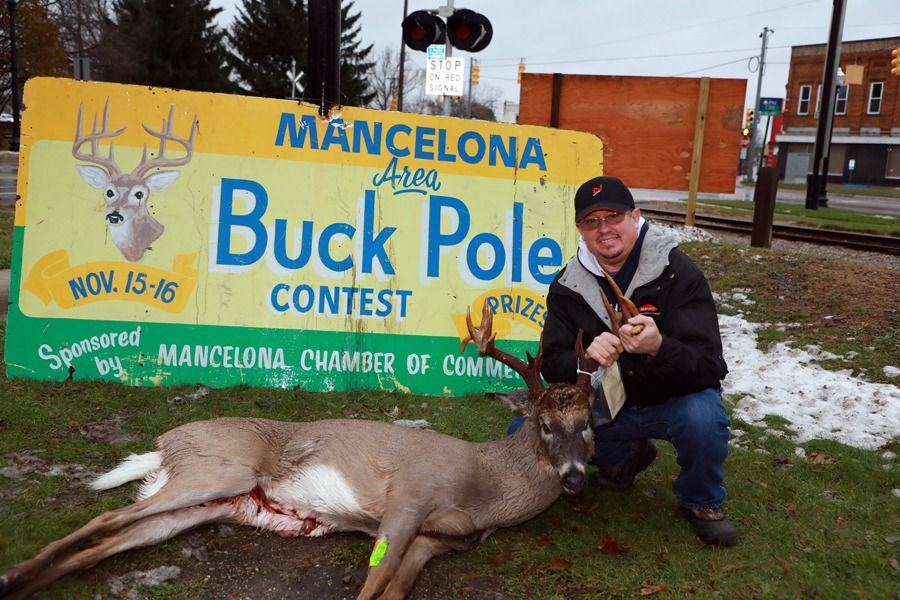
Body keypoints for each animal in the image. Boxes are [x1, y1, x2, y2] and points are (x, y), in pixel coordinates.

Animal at [0, 303, 599, 600]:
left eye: (589, 425)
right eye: (545, 424)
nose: (574, 478)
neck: (484, 484)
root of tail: (166, 442)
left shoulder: (444, 541)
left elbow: (396, 588)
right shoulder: (408, 494)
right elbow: (375, 581)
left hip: (213, 503)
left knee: (115, 536)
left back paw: (25, 581)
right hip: (220, 470)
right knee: (104, 517)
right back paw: (14, 575)